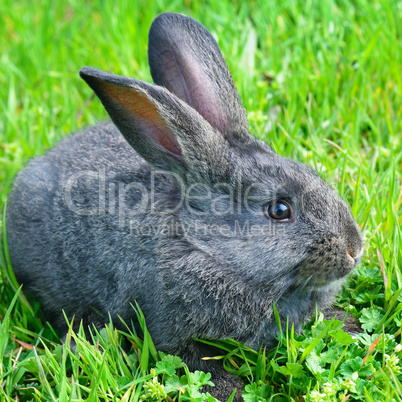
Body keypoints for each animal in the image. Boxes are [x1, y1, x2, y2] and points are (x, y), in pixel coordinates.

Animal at [5, 12, 364, 402]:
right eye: (279, 210)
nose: (354, 249)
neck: (206, 247)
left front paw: (351, 325)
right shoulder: (167, 325)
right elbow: (192, 360)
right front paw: (232, 390)